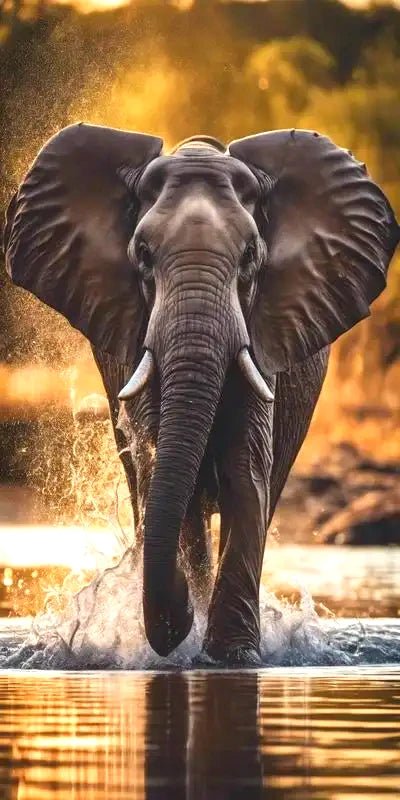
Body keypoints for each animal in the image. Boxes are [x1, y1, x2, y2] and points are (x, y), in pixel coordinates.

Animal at [4, 123, 399, 664]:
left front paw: (233, 656)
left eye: (251, 256)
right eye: (142, 255)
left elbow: (244, 474)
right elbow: (166, 472)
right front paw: (187, 637)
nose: (179, 618)